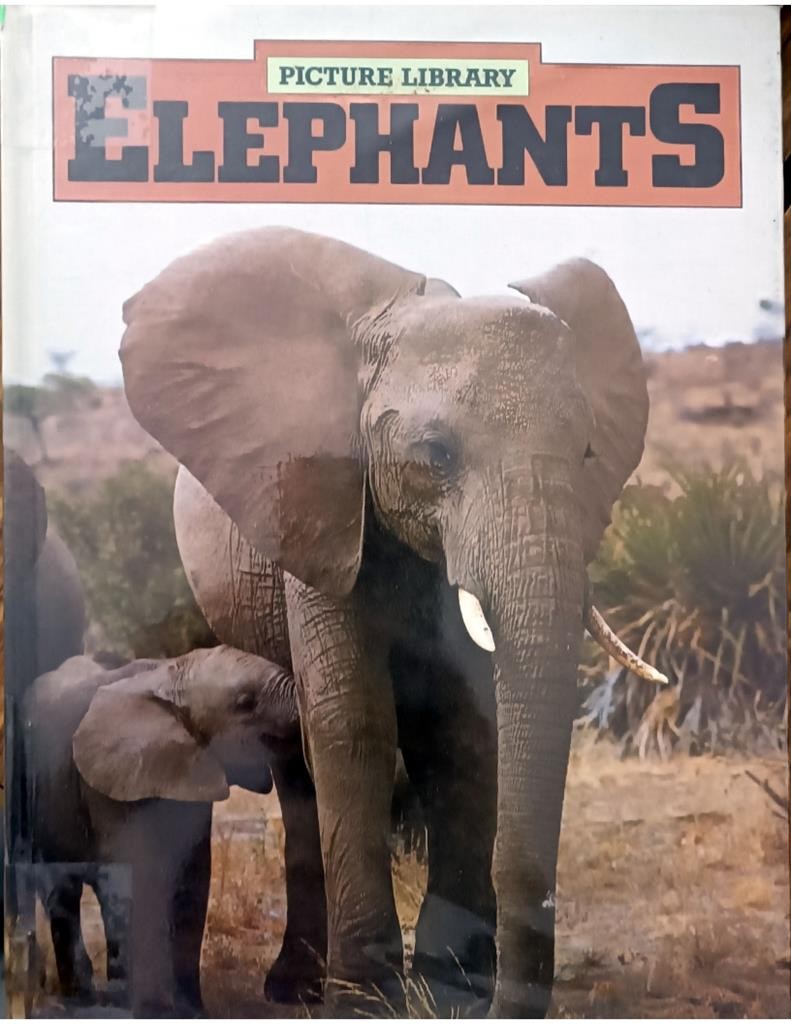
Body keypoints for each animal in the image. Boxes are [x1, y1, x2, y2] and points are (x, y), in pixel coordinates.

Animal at [23, 644, 308, 1016]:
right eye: (245, 702)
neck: (169, 676)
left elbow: (192, 883)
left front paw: (192, 1012)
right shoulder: (114, 785)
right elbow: (141, 879)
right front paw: (153, 1012)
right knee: (63, 894)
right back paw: (83, 999)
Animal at [119, 226, 664, 1017]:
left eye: (587, 452)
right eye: (436, 455)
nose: (506, 997)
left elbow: (463, 728)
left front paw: (452, 988)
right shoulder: (318, 509)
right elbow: (353, 720)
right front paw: (365, 1001)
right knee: (299, 757)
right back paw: (296, 987)